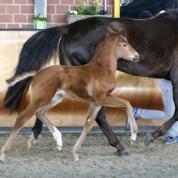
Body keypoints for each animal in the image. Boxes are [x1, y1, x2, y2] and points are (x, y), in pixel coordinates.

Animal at [1, 31, 140, 162]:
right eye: (124, 44)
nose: (137, 56)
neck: (102, 70)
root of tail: (37, 73)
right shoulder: (102, 98)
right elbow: (127, 104)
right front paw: (133, 137)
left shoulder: (96, 102)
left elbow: (88, 124)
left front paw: (75, 153)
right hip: (41, 99)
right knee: (22, 118)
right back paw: (3, 154)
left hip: (55, 98)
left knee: (40, 113)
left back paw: (58, 140)